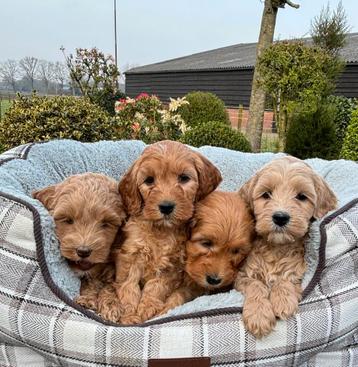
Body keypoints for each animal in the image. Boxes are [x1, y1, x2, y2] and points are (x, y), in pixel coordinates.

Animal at [32, 174, 127, 312]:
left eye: (106, 223)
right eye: (68, 220)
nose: (83, 251)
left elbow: (109, 284)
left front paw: (111, 305)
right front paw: (87, 299)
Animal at [100, 141, 221, 324]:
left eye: (184, 178)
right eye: (149, 180)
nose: (166, 207)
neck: (161, 230)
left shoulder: (171, 265)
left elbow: (156, 287)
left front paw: (147, 308)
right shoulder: (130, 256)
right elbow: (128, 287)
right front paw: (129, 315)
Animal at [236, 156, 338, 340]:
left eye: (301, 196)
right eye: (266, 194)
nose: (280, 217)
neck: (276, 248)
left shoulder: (298, 270)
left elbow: (287, 277)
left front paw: (283, 300)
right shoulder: (242, 274)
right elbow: (256, 284)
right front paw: (258, 315)